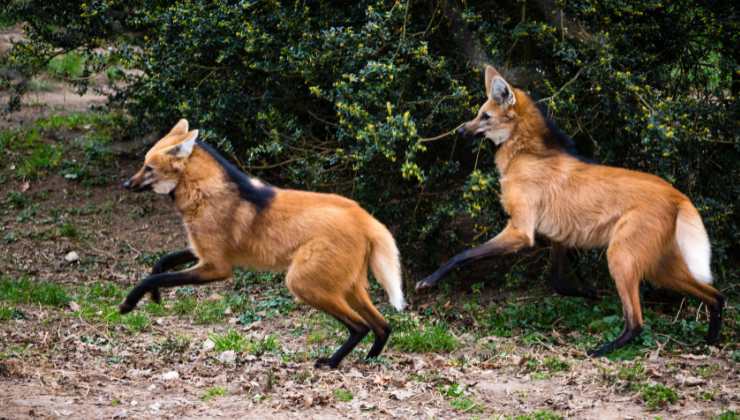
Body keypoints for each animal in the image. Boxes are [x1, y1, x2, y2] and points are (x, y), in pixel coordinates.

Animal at [124, 119, 408, 368]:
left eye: (148, 168)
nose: (125, 183)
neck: (203, 191)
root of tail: (364, 217)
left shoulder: (216, 267)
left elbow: (155, 277)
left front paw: (128, 303)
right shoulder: (203, 253)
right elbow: (161, 263)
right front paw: (155, 297)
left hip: (303, 282)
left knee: (360, 326)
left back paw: (332, 362)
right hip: (347, 286)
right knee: (383, 326)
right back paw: (369, 360)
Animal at [416, 67, 724, 356]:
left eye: (485, 116)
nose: (459, 131)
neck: (525, 155)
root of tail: (677, 194)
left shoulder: (521, 231)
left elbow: (463, 255)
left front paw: (428, 281)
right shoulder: (557, 237)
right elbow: (557, 281)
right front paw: (590, 292)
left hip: (621, 256)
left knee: (636, 321)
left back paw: (601, 350)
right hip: (660, 267)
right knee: (715, 295)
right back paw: (710, 341)